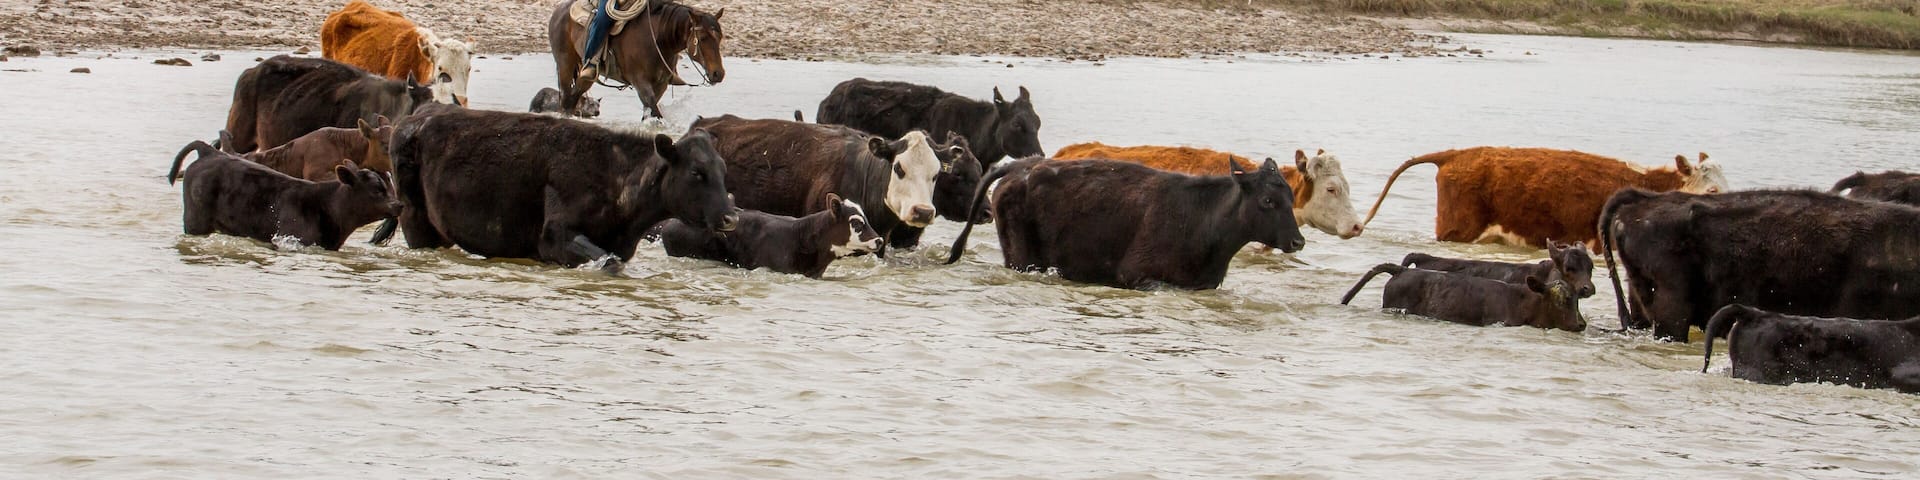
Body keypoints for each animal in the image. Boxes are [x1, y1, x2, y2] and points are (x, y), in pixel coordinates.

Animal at [386, 105, 737, 272]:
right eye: (696, 172)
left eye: (723, 169)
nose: (730, 217)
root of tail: (417, 118)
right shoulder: (554, 237)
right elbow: (608, 263)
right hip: (416, 222)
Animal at [944, 157, 1307, 290]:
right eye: (1268, 201)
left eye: (1291, 197)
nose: (1298, 241)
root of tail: (1021, 166)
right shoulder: (1136, 275)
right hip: (1022, 258)